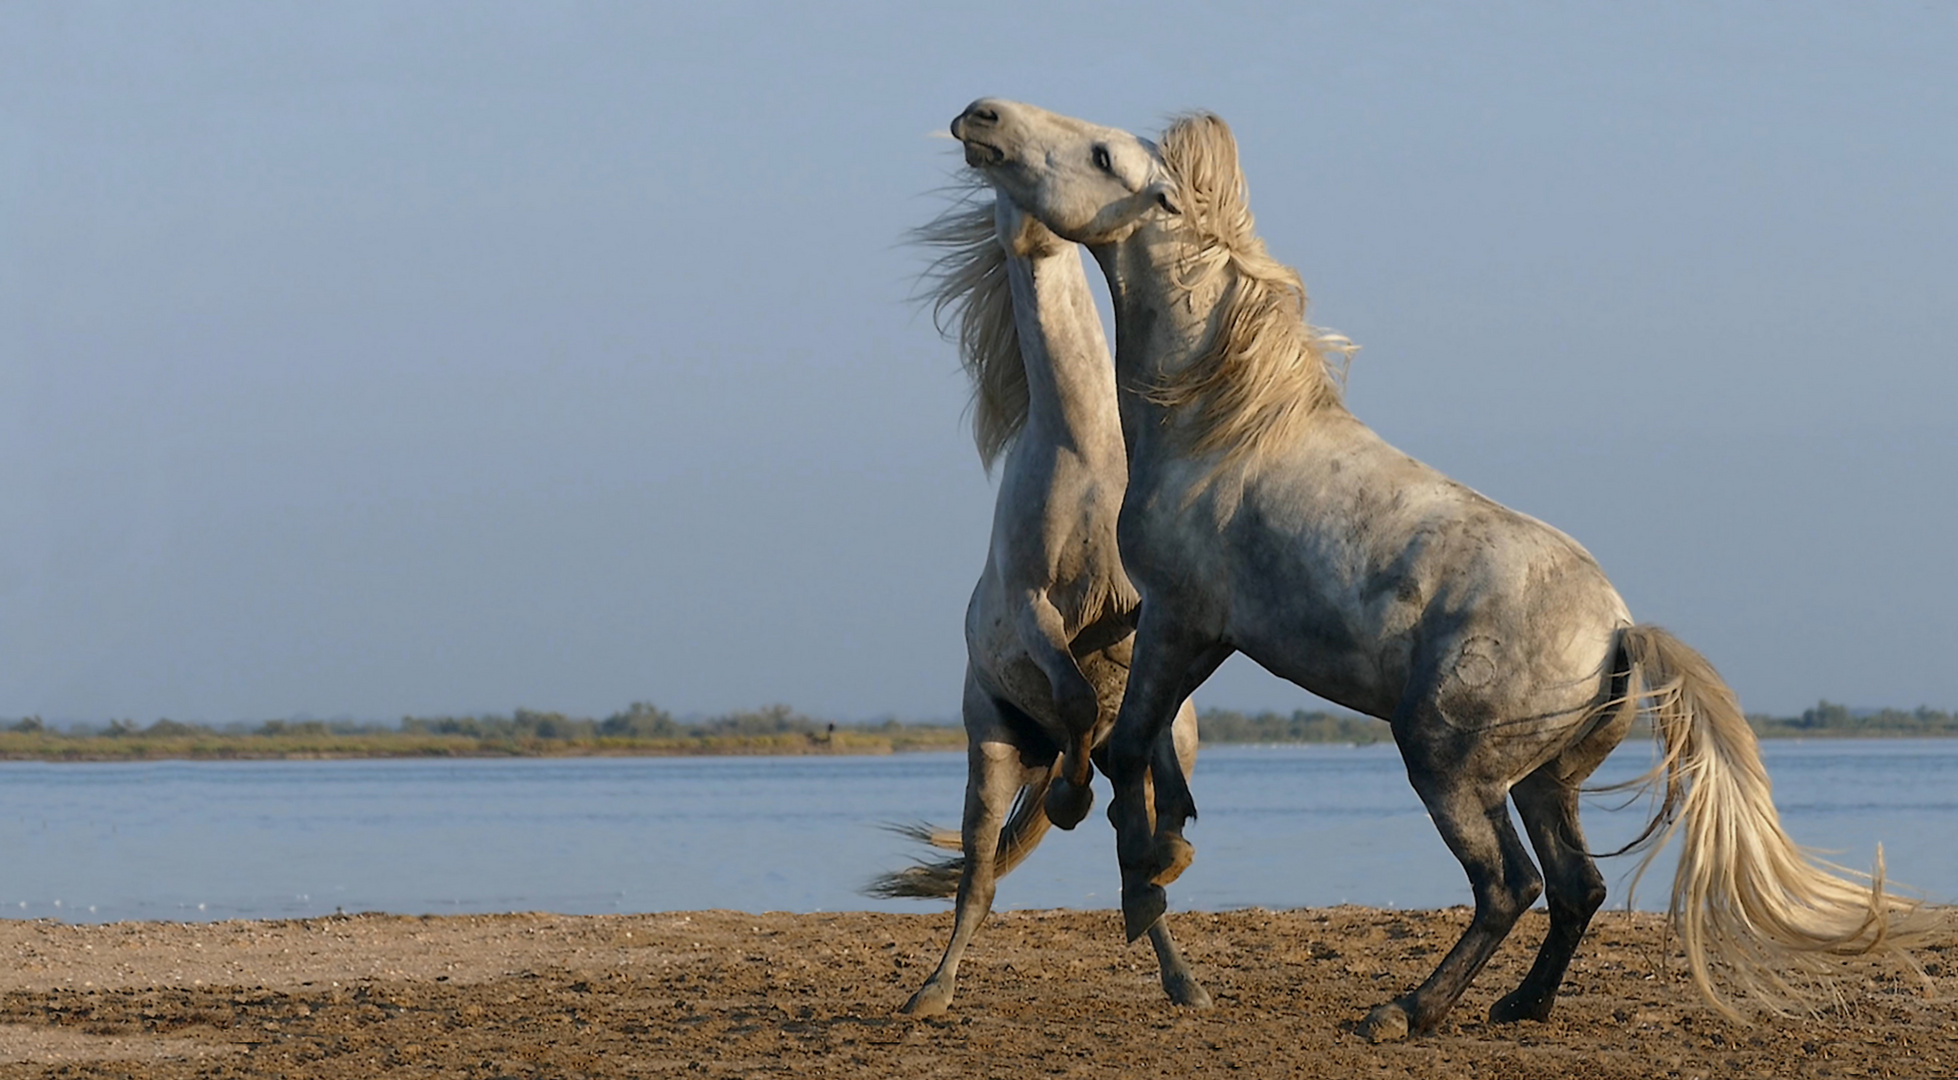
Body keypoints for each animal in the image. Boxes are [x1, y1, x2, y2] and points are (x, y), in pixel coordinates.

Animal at [873, 180, 1206, 1017]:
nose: (1036, 238)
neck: (1085, 454)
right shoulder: (1033, 611)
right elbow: (1078, 695)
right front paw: (1068, 800)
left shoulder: (1143, 607)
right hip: (991, 751)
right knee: (979, 880)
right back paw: (932, 991)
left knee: (1141, 849)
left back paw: (1183, 974)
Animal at [947, 96, 1911, 1040]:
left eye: (1103, 156)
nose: (980, 117)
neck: (1219, 429)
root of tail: (1618, 629)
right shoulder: (1191, 629)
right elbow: (1139, 743)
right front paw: (1159, 850)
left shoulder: (1184, 617)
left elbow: (1125, 747)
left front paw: (1141, 866)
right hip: (1541, 783)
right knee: (1577, 886)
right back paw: (1518, 1006)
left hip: (1445, 764)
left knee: (1510, 886)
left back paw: (1405, 1011)